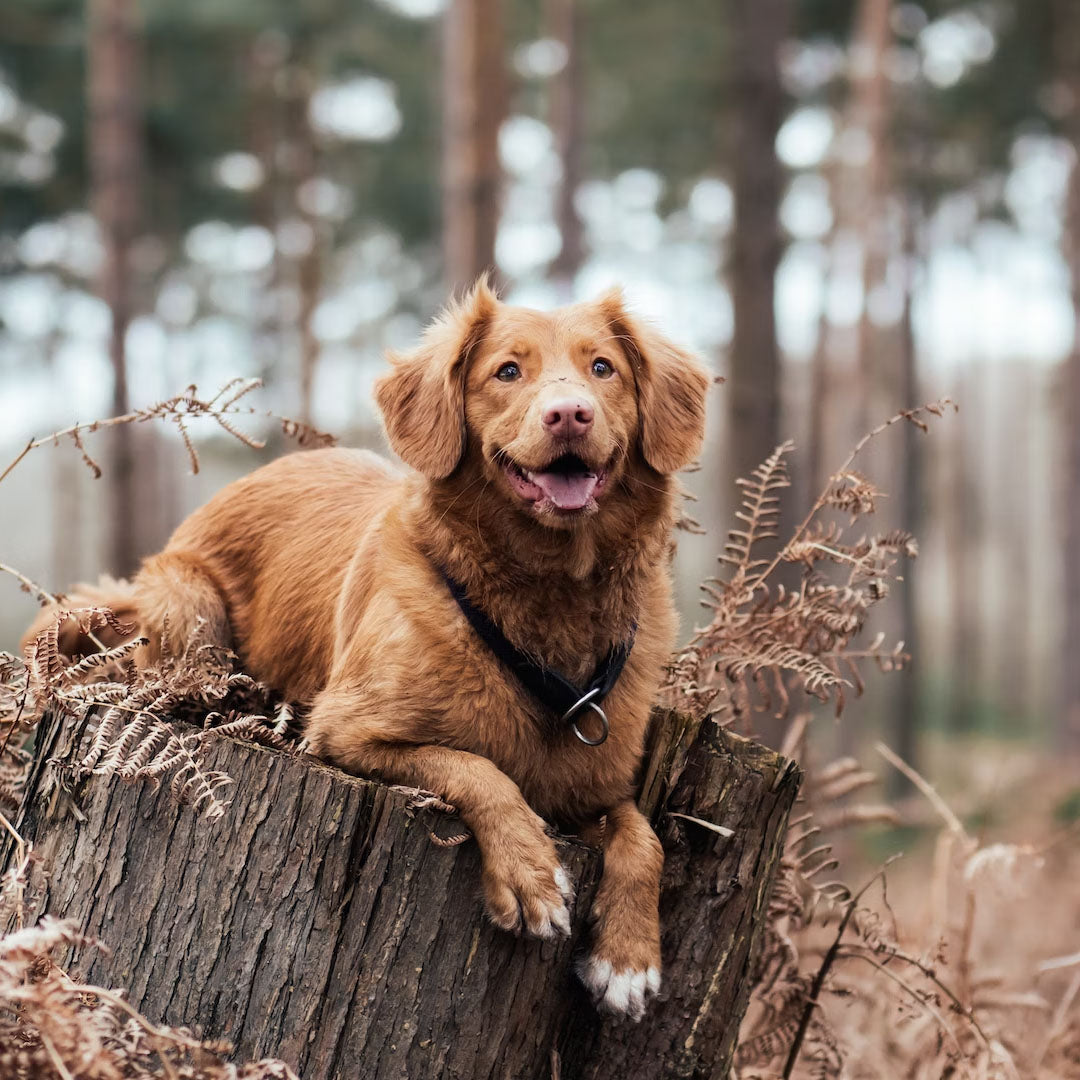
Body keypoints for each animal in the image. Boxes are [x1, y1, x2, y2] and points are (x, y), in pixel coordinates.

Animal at [23, 280, 708, 1019]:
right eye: (507, 371)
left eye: (603, 367)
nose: (570, 414)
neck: (548, 599)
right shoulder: (347, 731)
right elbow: (477, 768)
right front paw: (530, 872)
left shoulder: (595, 786)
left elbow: (643, 837)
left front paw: (629, 958)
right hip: (188, 605)